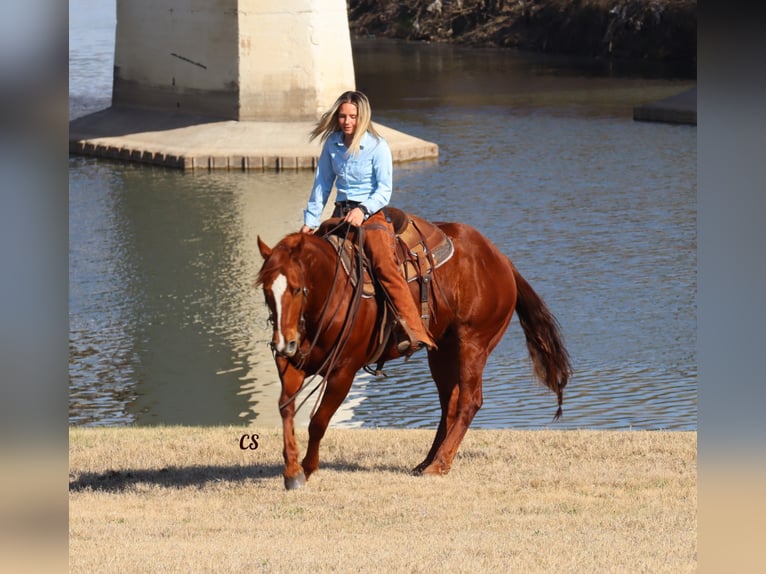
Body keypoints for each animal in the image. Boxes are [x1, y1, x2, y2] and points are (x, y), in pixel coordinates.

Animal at [256, 216, 568, 490]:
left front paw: (308, 468)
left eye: (297, 289)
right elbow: (286, 409)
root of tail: (501, 259)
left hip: (474, 344)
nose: (283, 343)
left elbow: (318, 421)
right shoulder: (292, 365)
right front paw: (292, 471)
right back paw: (427, 462)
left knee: (470, 402)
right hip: (442, 353)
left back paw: (439, 465)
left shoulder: (343, 371)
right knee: (449, 405)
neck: (330, 294)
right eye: (267, 291)